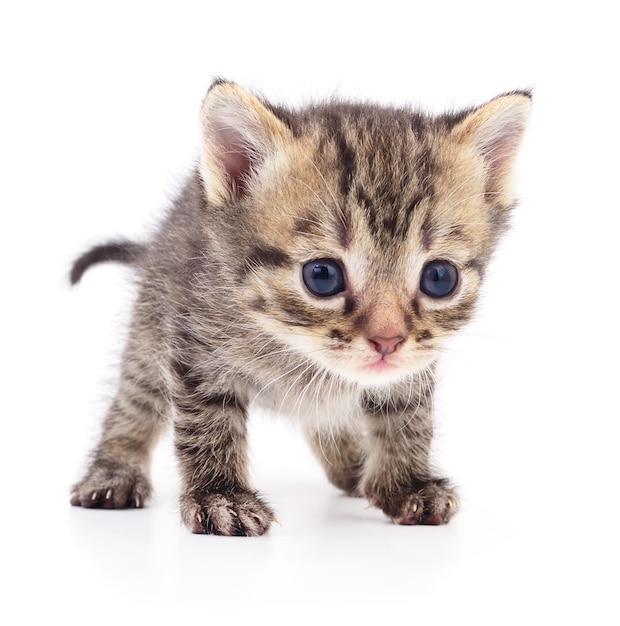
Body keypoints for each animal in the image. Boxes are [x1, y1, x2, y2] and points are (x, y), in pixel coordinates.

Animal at [70, 80, 532, 532]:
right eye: (321, 275)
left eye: (439, 278)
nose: (387, 341)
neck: (291, 347)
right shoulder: (195, 343)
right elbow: (208, 421)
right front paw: (221, 496)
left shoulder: (412, 367)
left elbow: (405, 416)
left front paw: (404, 484)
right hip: (153, 319)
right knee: (136, 397)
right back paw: (115, 471)